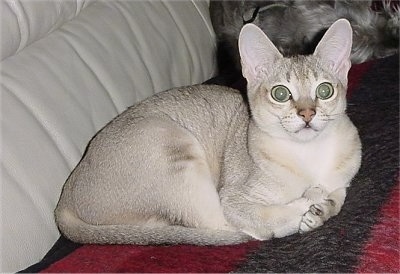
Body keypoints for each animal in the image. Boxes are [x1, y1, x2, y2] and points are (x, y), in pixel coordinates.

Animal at [54, 19, 360, 246]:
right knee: (219, 228)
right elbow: (259, 218)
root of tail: (66, 197)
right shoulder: (234, 197)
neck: (310, 155)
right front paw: (312, 206)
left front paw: (324, 207)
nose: (307, 114)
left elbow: (340, 193)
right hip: (170, 146)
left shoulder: (343, 177)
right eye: (281, 94)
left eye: (325, 90)